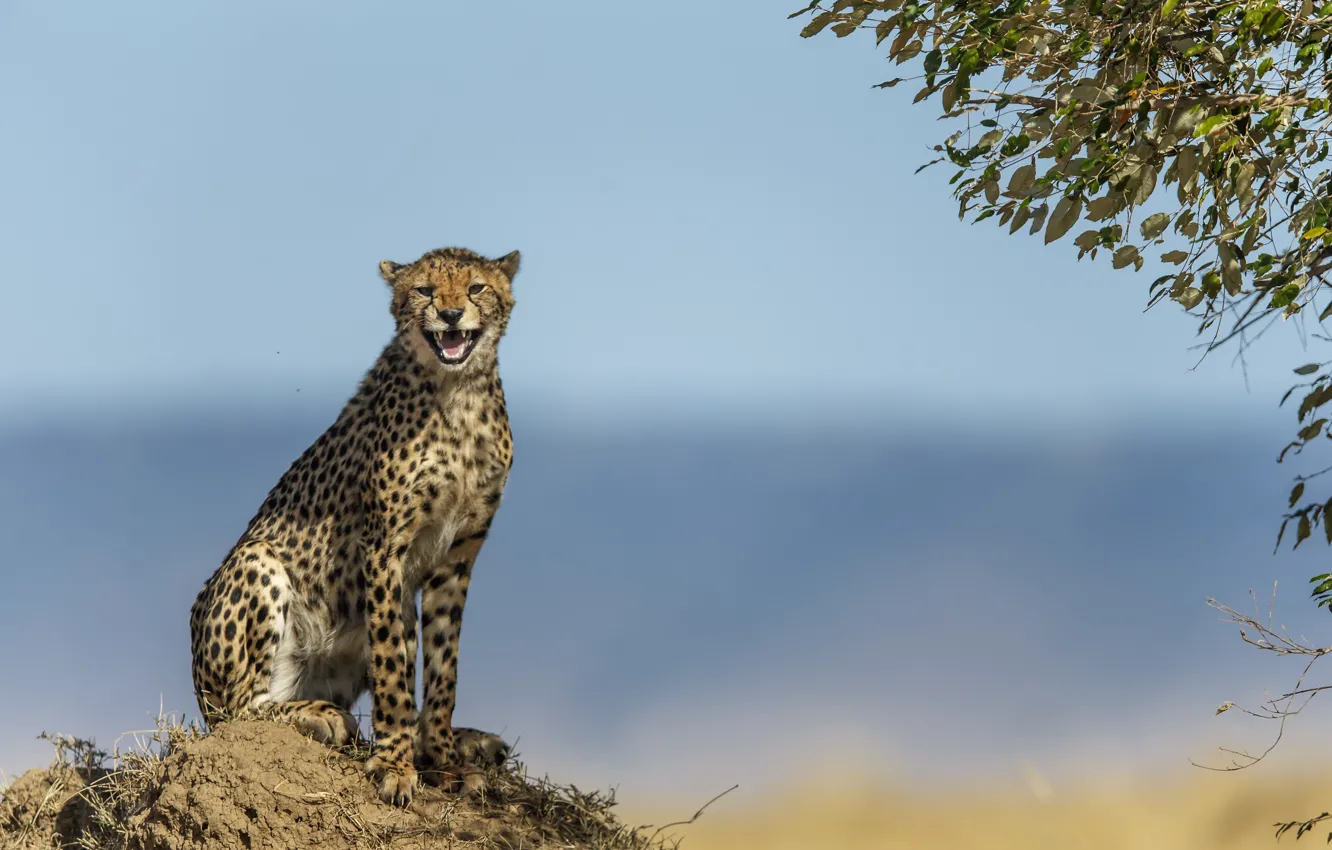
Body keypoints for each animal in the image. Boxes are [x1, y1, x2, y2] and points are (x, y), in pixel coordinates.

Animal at [189, 246, 522, 807]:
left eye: (476, 288)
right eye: (425, 291)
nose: (451, 314)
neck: (458, 393)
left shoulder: (457, 556)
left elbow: (443, 667)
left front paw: (443, 760)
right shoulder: (385, 547)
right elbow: (390, 663)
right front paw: (394, 764)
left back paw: (465, 739)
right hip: (256, 565)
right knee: (243, 708)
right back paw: (321, 717)